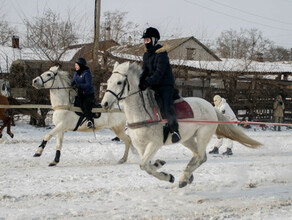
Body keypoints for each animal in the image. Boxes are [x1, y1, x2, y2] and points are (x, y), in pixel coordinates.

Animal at [101, 61, 262, 187]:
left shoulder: (154, 143)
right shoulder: (141, 146)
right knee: (197, 155)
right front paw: (161, 167)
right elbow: (146, 166)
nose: (105, 104)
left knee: (201, 157)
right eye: (108, 81)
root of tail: (211, 107)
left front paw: (167, 174)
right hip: (187, 139)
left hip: (203, 135)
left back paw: (184, 178)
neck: (143, 113)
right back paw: (187, 176)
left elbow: (144, 165)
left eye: (119, 82)